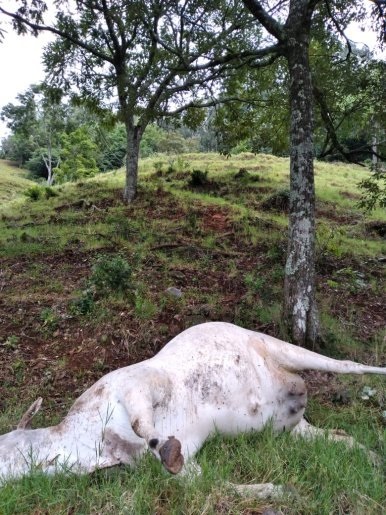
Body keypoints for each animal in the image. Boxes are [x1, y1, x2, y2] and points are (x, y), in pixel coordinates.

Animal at [0, 322, 386, 492]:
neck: (90, 440)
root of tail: (296, 389)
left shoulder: (138, 385)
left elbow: (143, 425)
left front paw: (165, 446)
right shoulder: (179, 470)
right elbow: (211, 484)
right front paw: (274, 491)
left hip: (285, 349)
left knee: (350, 365)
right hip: (291, 430)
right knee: (339, 438)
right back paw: (372, 457)